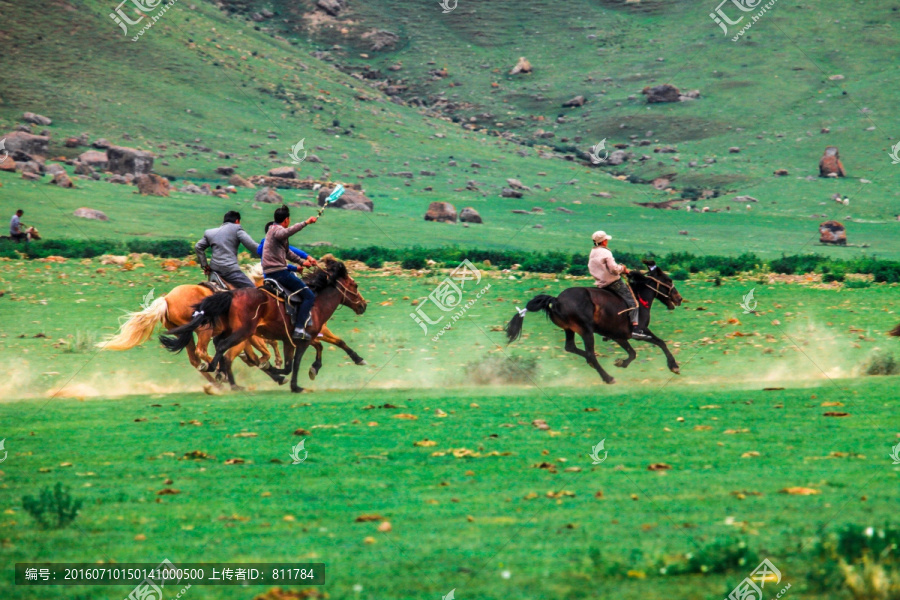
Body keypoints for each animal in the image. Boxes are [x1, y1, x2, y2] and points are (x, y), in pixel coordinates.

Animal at [161, 255, 366, 392]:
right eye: (355, 285)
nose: (363, 305)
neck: (315, 303)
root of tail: (167, 299)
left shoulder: (289, 340)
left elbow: (289, 362)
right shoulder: (305, 338)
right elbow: (301, 359)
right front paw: (300, 381)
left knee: (204, 356)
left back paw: (221, 378)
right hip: (232, 333)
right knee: (217, 352)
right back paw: (220, 374)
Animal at [506, 262, 684, 384]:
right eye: (669, 280)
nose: (679, 299)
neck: (640, 299)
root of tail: (556, 300)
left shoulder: (619, 336)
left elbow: (633, 353)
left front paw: (621, 362)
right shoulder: (639, 331)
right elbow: (660, 342)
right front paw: (674, 366)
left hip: (570, 329)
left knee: (571, 347)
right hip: (586, 331)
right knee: (590, 353)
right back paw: (608, 378)